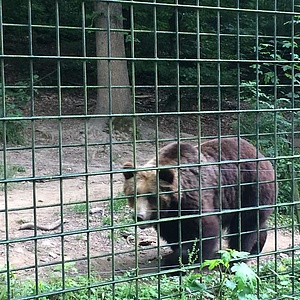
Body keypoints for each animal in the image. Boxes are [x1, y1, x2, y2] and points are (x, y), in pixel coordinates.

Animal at [121, 137, 274, 268]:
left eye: (151, 196)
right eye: (134, 195)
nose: (139, 216)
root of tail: (262, 156)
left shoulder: (194, 199)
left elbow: (204, 231)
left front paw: (175, 260)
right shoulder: (169, 219)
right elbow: (174, 233)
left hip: (250, 188)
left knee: (245, 225)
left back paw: (237, 256)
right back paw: (256, 247)